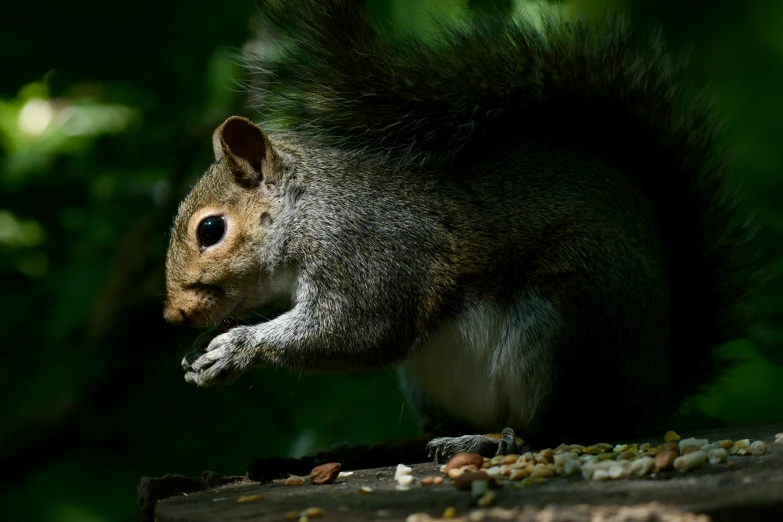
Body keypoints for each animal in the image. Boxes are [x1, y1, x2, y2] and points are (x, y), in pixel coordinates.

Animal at [164, 0, 760, 456]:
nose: (173, 316)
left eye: (210, 230)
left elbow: (360, 329)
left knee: (562, 427)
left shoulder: (372, 252)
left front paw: (234, 349)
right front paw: (197, 353)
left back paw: (495, 440)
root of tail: (654, 388)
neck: (310, 208)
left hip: (573, 316)